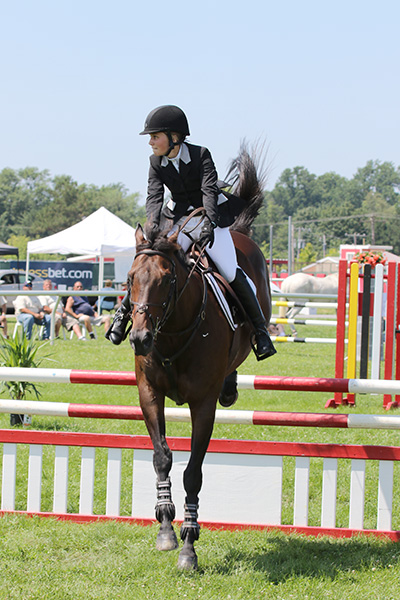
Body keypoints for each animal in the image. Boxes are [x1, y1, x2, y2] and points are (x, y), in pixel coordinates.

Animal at [126, 148, 274, 568]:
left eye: (166, 280)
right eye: (130, 280)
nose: (140, 339)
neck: (173, 331)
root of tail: (238, 230)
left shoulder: (203, 405)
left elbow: (194, 472)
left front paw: (189, 545)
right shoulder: (149, 394)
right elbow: (162, 457)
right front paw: (164, 527)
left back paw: (236, 380)